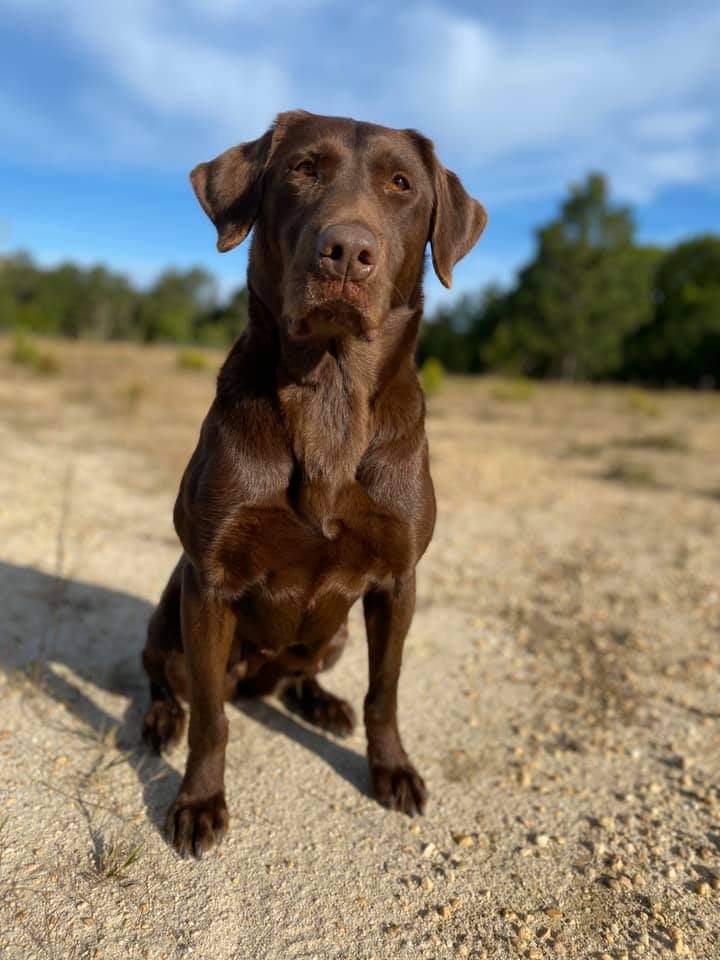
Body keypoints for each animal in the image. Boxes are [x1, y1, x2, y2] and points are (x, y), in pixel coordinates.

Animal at [139, 110, 490, 856]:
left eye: (401, 184)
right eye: (303, 169)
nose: (347, 251)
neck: (330, 390)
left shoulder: (398, 581)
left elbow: (385, 693)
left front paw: (393, 770)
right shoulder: (208, 583)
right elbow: (212, 719)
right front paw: (199, 802)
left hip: (334, 638)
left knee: (303, 673)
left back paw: (321, 703)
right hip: (171, 609)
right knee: (164, 675)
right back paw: (159, 721)